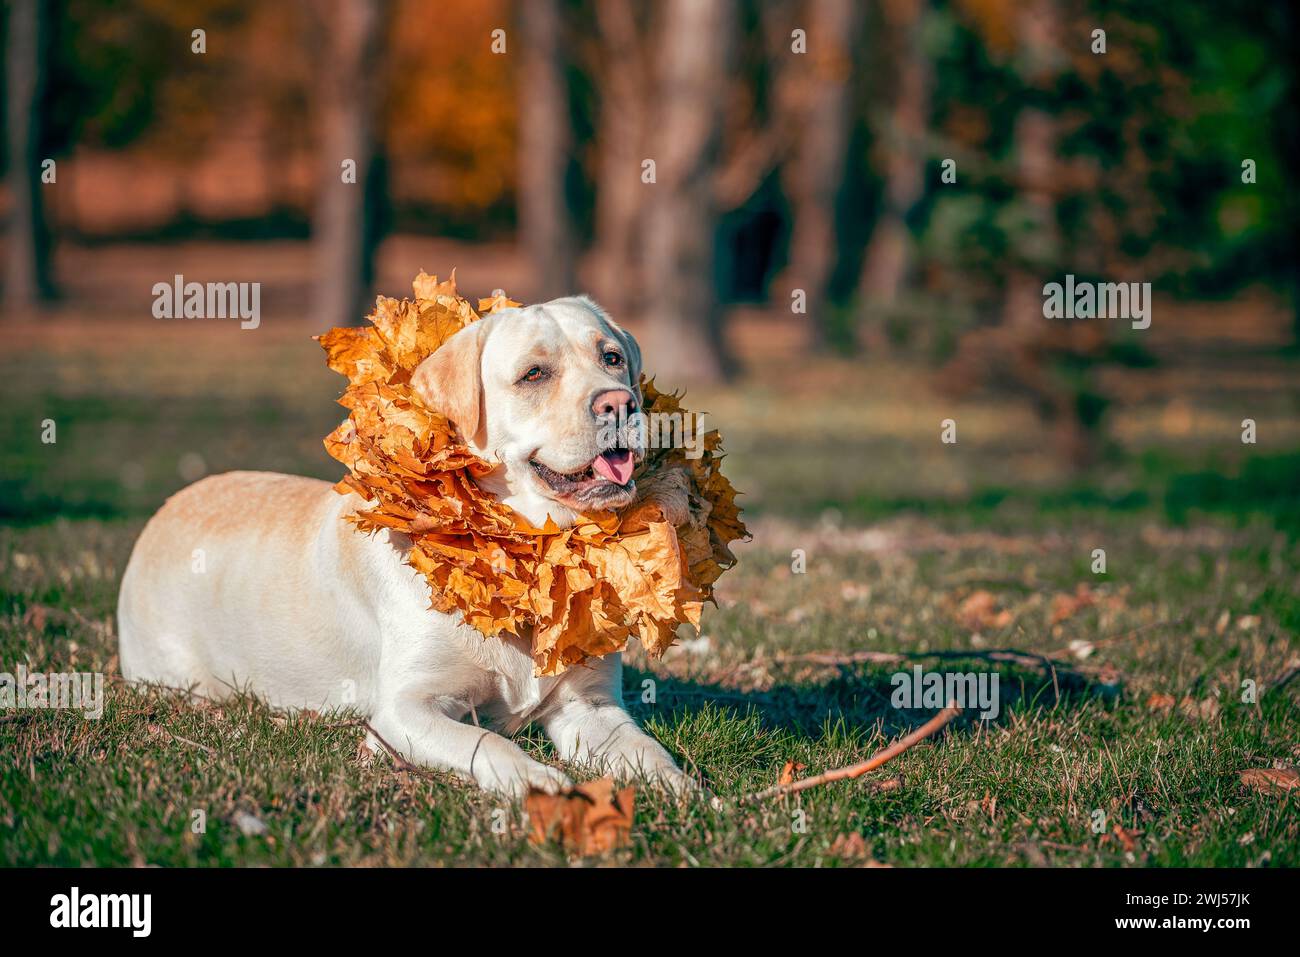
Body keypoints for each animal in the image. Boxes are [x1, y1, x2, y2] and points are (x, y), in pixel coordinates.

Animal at [116, 295, 696, 795]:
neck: (527, 548)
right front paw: (533, 779)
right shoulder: (403, 710)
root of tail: (167, 508)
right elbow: (483, 740)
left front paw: (686, 790)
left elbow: (646, 750)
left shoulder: (590, 707)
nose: (620, 403)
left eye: (612, 358)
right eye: (534, 374)